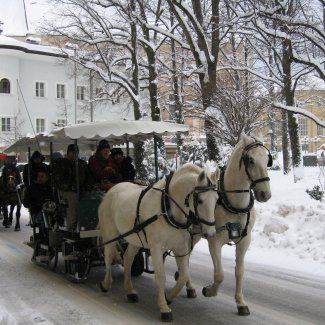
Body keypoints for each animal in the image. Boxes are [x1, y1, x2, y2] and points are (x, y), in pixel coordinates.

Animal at [98, 165, 219, 322]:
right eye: (200, 200)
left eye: (217, 199)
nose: (210, 233)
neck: (167, 209)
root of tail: (111, 190)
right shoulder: (156, 248)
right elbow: (161, 276)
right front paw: (164, 308)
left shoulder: (180, 247)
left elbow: (184, 275)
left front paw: (169, 297)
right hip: (110, 234)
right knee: (108, 257)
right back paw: (106, 284)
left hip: (135, 238)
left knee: (128, 259)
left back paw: (130, 291)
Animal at [182, 132, 270, 314]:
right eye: (250, 160)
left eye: (267, 159)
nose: (265, 194)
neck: (233, 203)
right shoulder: (214, 240)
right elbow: (220, 274)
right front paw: (209, 290)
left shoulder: (245, 241)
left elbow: (239, 271)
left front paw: (240, 302)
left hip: (195, 235)